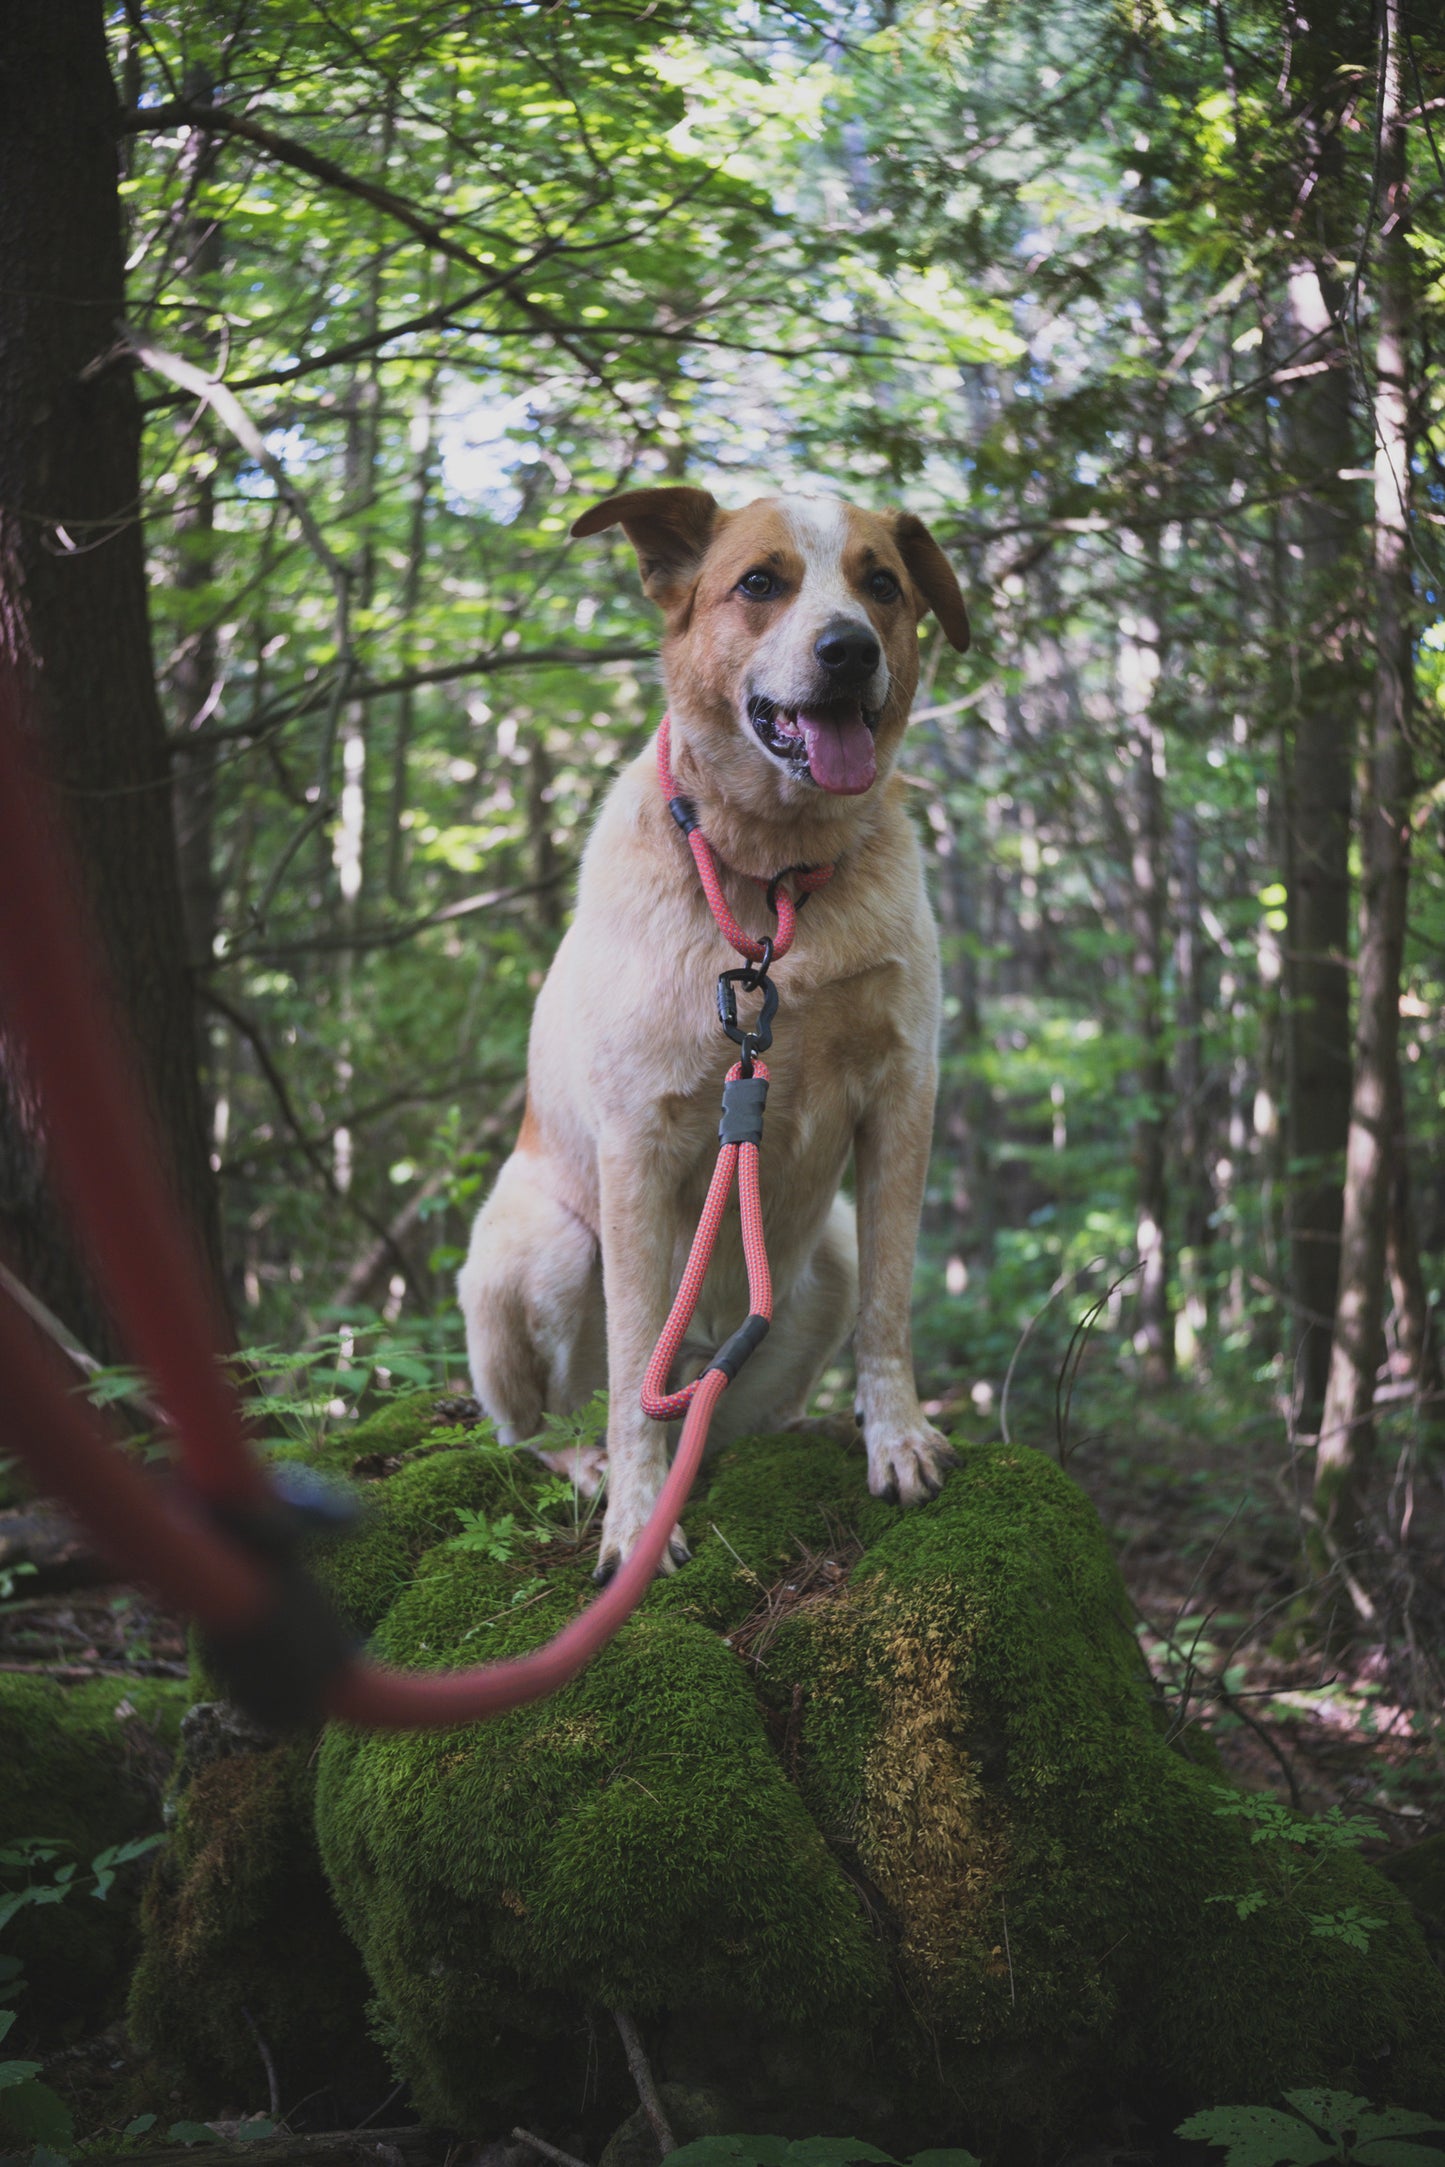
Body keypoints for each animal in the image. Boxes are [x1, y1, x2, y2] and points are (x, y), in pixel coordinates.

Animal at [457, 487, 966, 1577]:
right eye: (759, 582)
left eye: (882, 585)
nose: (848, 650)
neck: (775, 875)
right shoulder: (638, 1146)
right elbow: (629, 1363)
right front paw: (638, 1517)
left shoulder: (902, 1093)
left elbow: (891, 1304)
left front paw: (896, 1438)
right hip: (545, 1248)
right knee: (538, 1426)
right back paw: (591, 1465)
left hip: (820, 1261)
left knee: (722, 1411)